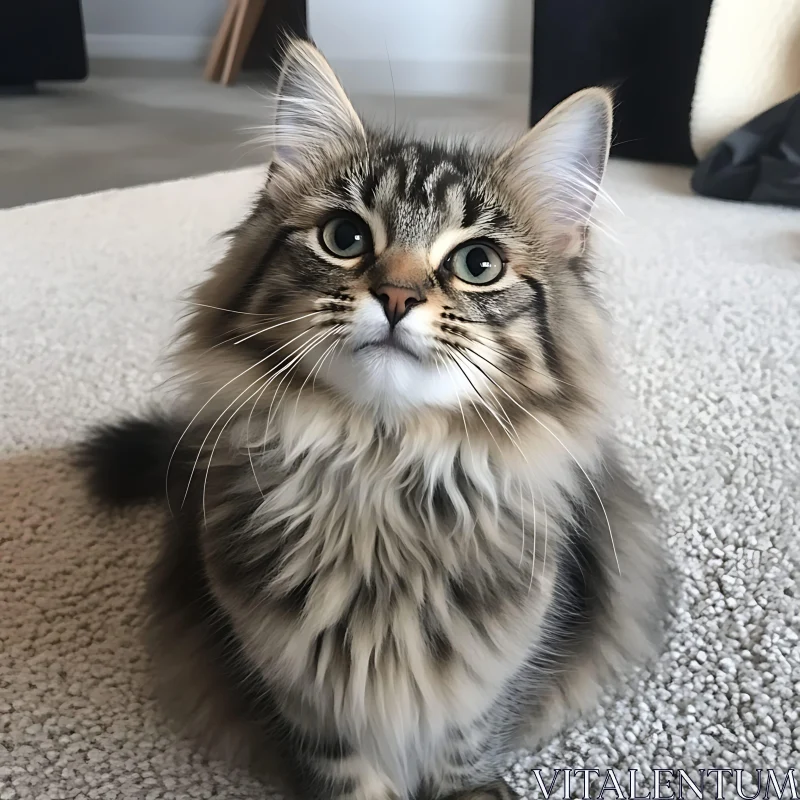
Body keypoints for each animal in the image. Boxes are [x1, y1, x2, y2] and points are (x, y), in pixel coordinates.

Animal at [81, 39, 668, 800]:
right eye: (344, 236)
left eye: (478, 263)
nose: (395, 296)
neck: (382, 476)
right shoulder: (303, 701)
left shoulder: (487, 693)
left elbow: (468, 758)